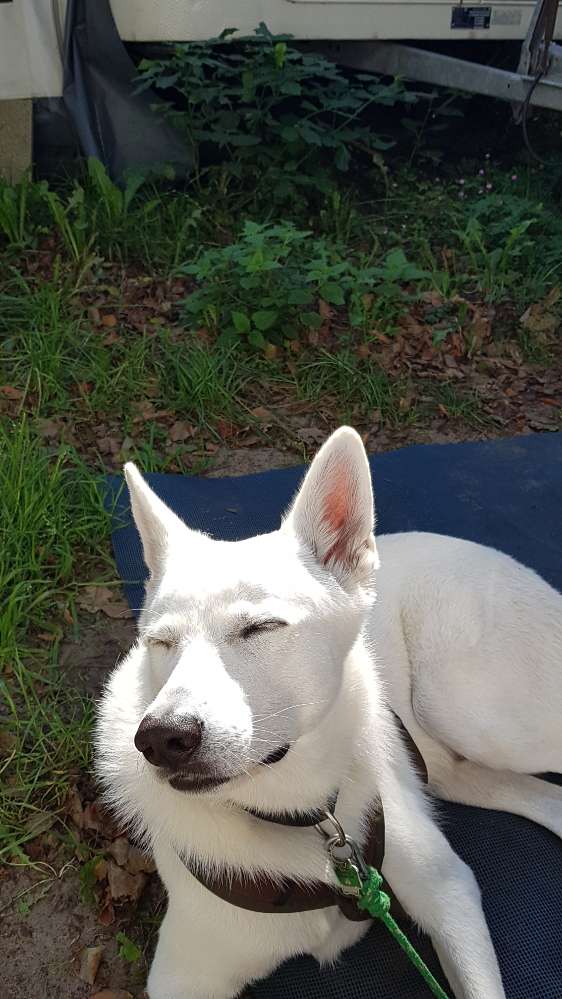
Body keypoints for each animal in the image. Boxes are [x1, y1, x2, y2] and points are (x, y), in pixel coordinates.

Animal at [96, 428, 560, 999]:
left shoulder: (449, 891)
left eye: (261, 628)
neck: (307, 818)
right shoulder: (184, 973)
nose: (161, 739)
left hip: (471, 712)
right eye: (159, 642)